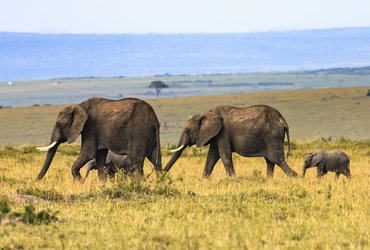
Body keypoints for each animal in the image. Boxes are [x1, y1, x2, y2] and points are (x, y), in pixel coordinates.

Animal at [165, 104, 300, 178]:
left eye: (188, 130)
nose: (161, 176)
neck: (205, 114)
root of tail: (284, 121)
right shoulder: (216, 135)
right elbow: (211, 157)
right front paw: (204, 179)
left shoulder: (223, 133)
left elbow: (224, 156)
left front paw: (233, 179)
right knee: (270, 161)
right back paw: (269, 180)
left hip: (272, 135)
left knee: (277, 160)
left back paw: (298, 178)